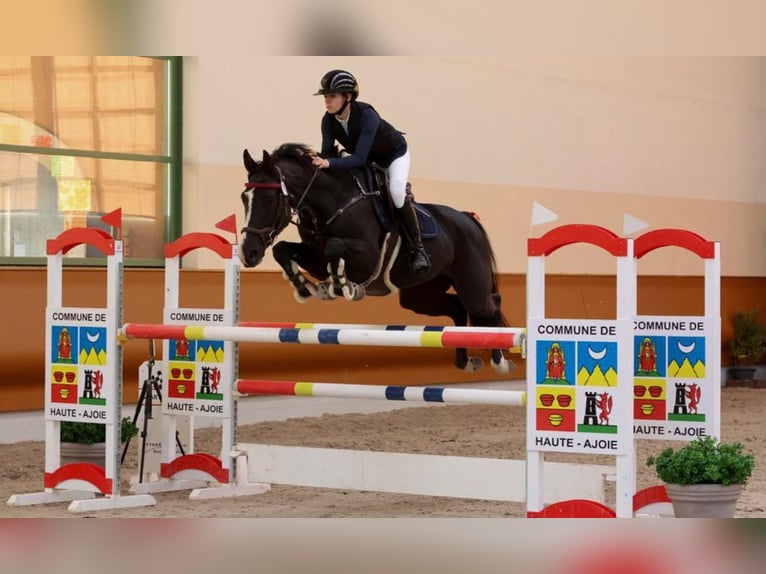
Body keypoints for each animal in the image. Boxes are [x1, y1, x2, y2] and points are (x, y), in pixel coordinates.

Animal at [240, 144, 516, 376]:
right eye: (245, 197)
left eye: (269, 198)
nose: (248, 253)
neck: (331, 202)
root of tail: (467, 218)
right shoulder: (315, 259)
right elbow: (283, 250)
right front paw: (306, 287)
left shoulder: (368, 258)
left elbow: (334, 246)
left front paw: (342, 286)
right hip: (419, 295)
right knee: (458, 308)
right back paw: (465, 361)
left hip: (471, 284)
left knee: (489, 304)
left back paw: (501, 362)